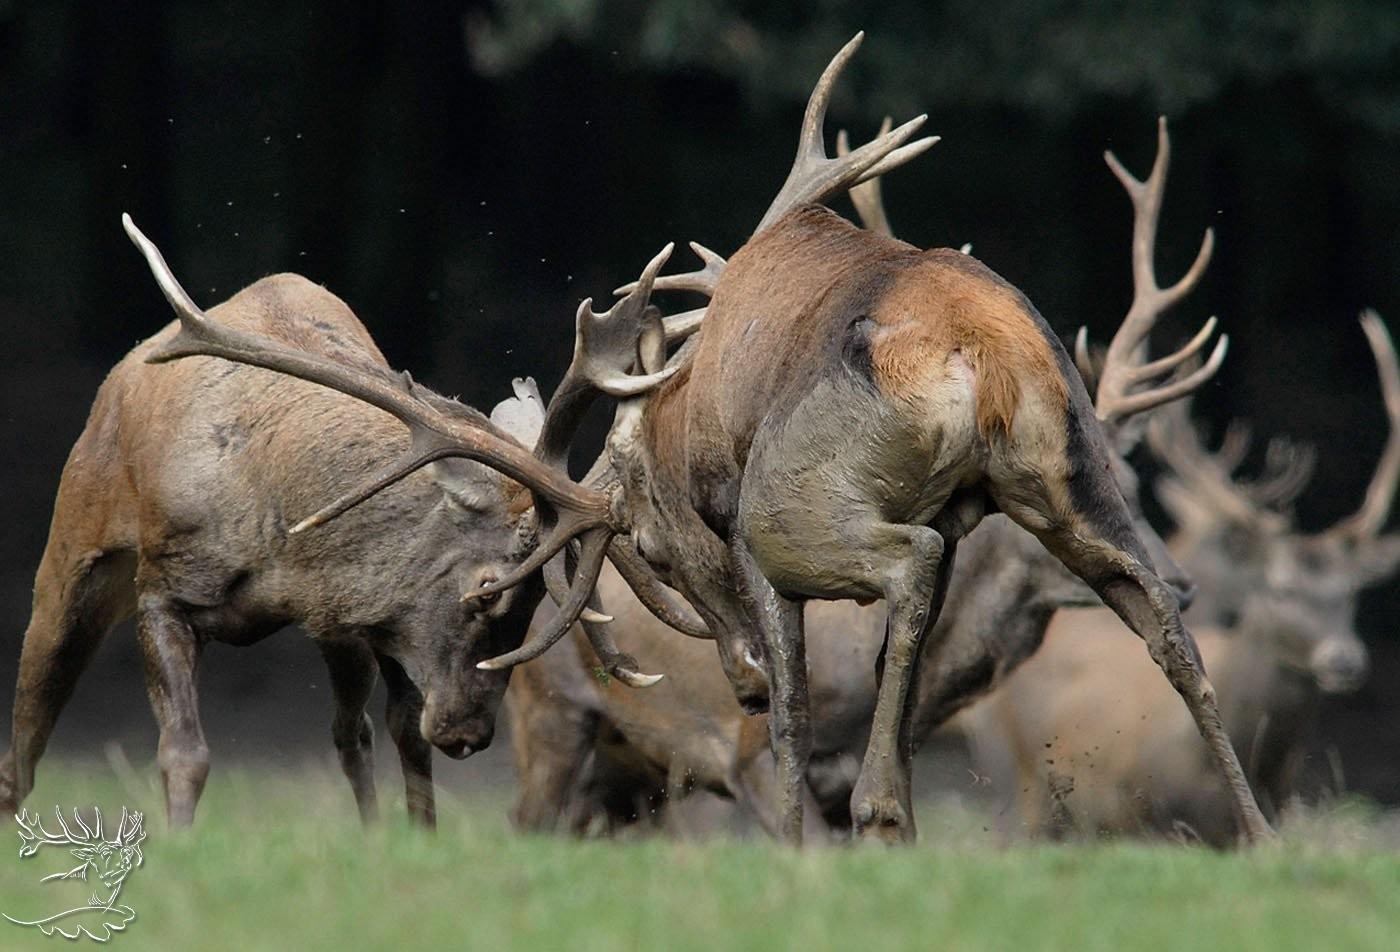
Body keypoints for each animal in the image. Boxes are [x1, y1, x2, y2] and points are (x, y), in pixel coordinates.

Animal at [0, 215, 687, 830]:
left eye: (535, 603)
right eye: (486, 590)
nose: (468, 733)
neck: (274, 534)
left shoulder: (368, 610)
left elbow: (403, 736)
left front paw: (418, 838)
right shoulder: (162, 589)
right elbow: (183, 752)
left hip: (341, 628)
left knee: (355, 734)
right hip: (76, 540)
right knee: (29, 723)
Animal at [506, 113, 1222, 839]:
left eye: (652, 553)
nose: (742, 690)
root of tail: (979, 344)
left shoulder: (744, 540)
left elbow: (791, 717)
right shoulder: (953, 523)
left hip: (786, 508)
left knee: (906, 566)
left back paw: (875, 806)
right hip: (1066, 474)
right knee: (1161, 623)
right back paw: (1247, 825)